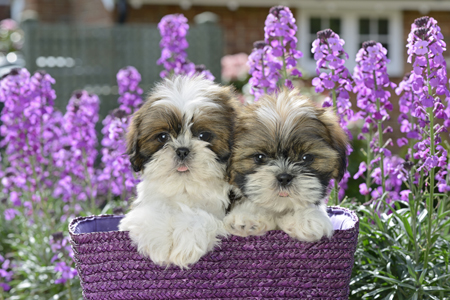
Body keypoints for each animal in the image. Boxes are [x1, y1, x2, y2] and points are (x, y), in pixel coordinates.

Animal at [119, 75, 239, 268]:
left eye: (204, 135)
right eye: (163, 137)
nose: (182, 150)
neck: (184, 187)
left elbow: (198, 216)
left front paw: (186, 241)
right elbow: (155, 210)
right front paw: (158, 241)